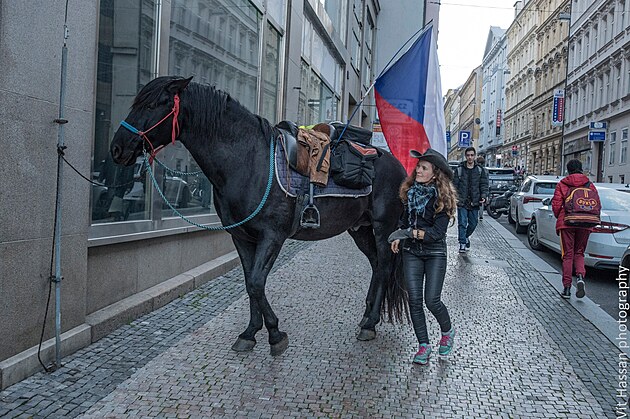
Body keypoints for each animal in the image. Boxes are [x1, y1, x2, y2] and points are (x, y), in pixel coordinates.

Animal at [110, 74, 408, 354]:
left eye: (152, 104)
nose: (117, 148)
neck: (249, 161)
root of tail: (397, 165)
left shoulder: (272, 236)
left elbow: (256, 282)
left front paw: (275, 334)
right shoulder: (242, 237)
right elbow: (250, 283)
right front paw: (250, 333)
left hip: (383, 228)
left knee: (384, 268)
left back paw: (370, 324)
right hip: (360, 229)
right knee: (375, 266)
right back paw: (367, 317)